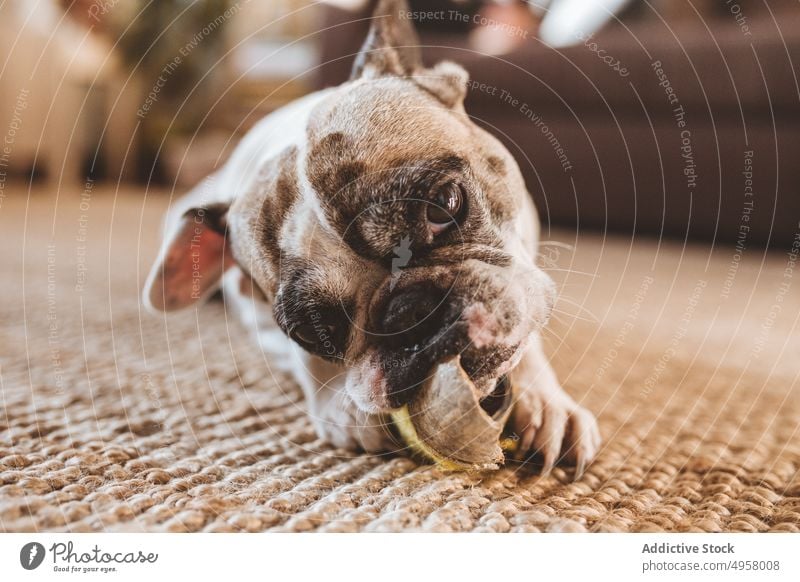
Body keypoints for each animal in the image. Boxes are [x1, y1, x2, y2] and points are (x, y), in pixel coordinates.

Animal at [142, 0, 600, 476]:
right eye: (313, 332)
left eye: (445, 203)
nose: (407, 314)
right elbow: (305, 363)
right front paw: (342, 408)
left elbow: (527, 317)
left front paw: (545, 401)